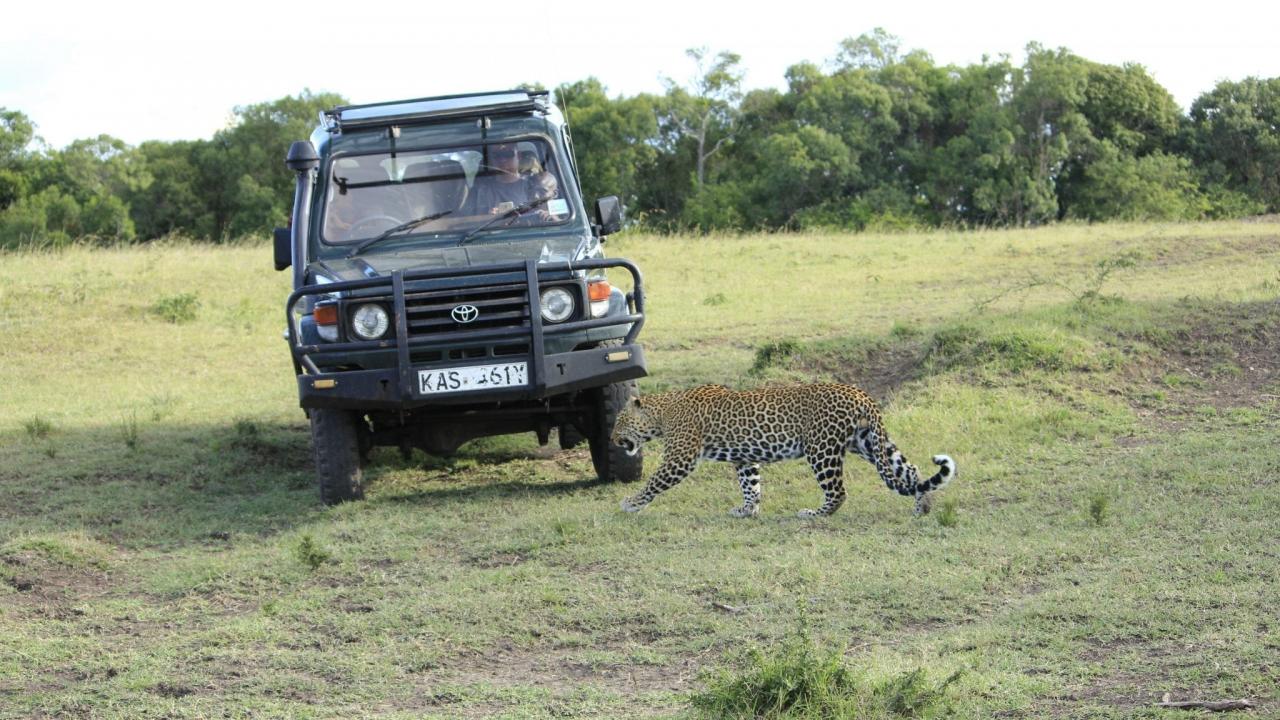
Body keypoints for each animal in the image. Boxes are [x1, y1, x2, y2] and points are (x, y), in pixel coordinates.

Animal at [609, 381, 952, 515]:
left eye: (619, 422)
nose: (612, 440)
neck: (662, 412)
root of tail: (859, 393)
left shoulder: (680, 458)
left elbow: (654, 482)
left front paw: (630, 503)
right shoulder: (744, 458)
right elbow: (751, 485)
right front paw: (747, 511)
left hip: (822, 449)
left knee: (838, 492)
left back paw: (813, 513)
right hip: (868, 442)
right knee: (911, 470)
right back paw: (923, 506)